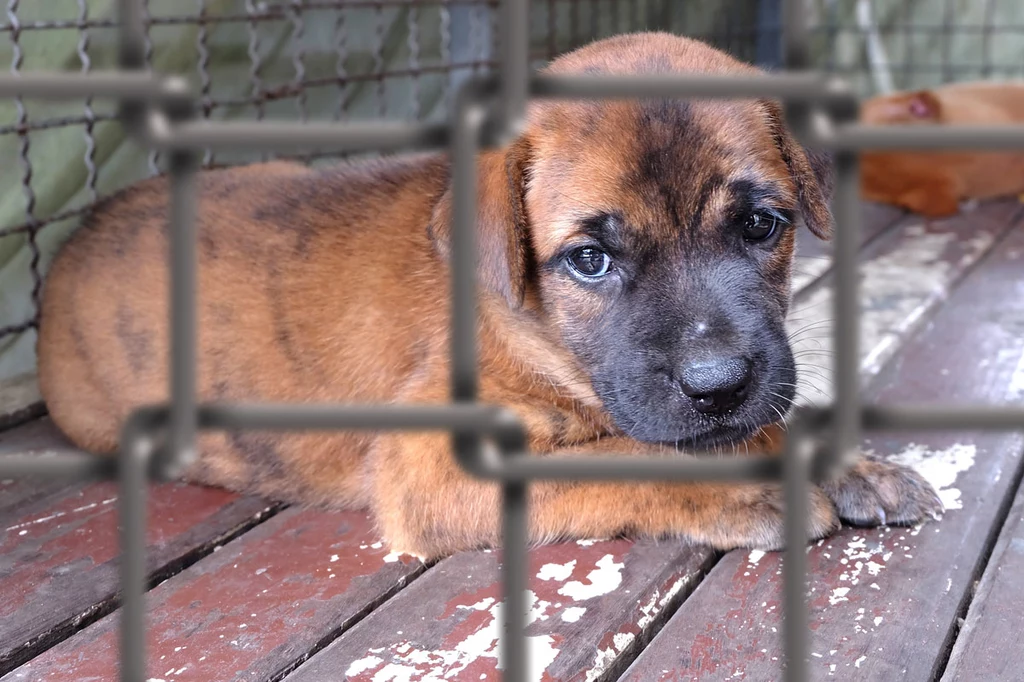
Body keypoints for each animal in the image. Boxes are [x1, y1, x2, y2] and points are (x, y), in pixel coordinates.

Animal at [36, 33, 937, 557]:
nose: (718, 387)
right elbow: (620, 457)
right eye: (589, 261)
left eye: (759, 225)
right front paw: (747, 482)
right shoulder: (430, 463)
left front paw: (855, 464)